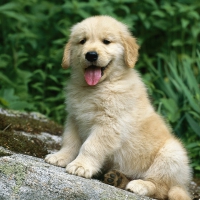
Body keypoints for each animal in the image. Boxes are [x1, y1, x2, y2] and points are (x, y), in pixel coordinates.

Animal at [45, 16, 191, 200]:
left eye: (106, 41)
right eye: (82, 41)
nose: (91, 55)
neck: (98, 87)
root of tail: (181, 185)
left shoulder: (109, 124)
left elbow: (90, 146)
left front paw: (81, 166)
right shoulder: (74, 119)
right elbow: (70, 141)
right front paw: (60, 157)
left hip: (172, 155)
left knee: (161, 188)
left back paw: (140, 185)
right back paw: (117, 178)